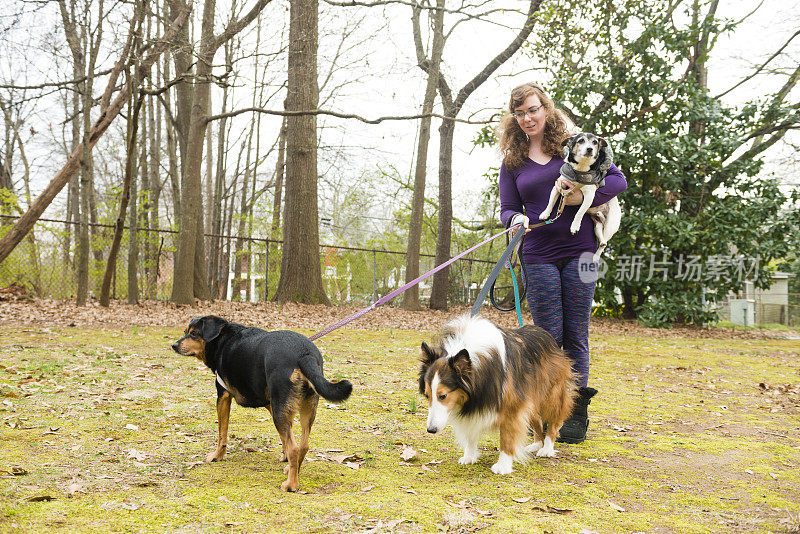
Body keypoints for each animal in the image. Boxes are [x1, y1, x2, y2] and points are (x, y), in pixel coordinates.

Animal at [173, 314, 352, 494]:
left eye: (194, 334)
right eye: (185, 332)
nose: (174, 345)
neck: (223, 339)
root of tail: (304, 354)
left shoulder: (223, 395)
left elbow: (222, 433)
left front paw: (217, 456)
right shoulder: (272, 403)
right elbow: (285, 439)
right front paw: (286, 459)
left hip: (281, 410)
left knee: (295, 448)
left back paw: (291, 485)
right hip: (306, 408)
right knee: (303, 445)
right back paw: (293, 471)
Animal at [418, 316, 576, 476]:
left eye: (443, 396)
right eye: (427, 395)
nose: (431, 430)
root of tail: (546, 334)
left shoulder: (512, 407)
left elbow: (506, 437)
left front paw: (503, 465)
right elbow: (471, 432)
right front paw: (469, 456)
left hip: (551, 396)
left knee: (554, 422)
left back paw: (547, 448)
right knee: (537, 420)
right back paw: (536, 444)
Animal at [540, 132, 620, 262]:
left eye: (595, 142)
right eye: (581, 141)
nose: (590, 149)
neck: (581, 169)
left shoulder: (589, 196)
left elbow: (580, 212)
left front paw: (575, 226)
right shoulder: (558, 186)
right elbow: (550, 201)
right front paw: (545, 213)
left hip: (610, 225)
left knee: (604, 243)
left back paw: (596, 258)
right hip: (597, 226)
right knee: (603, 241)